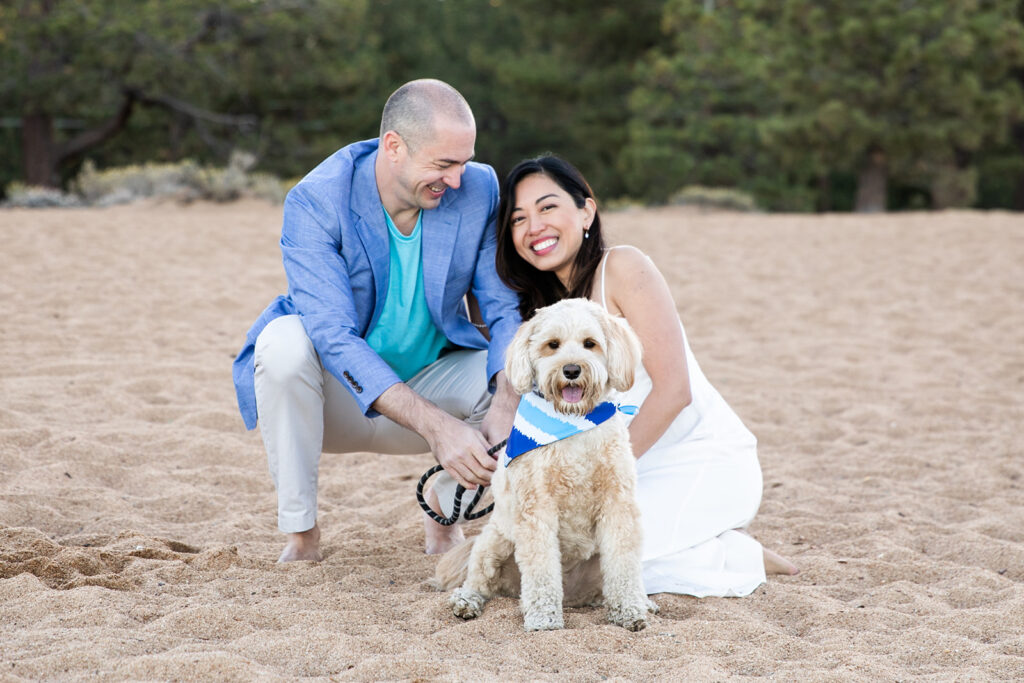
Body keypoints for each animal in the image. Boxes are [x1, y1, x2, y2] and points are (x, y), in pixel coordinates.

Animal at [434, 296, 655, 630]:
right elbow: (541, 568)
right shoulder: (536, 508)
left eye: (590, 343)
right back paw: (467, 601)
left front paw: (630, 610)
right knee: (480, 581)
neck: (572, 422)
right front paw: (543, 617)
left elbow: (624, 563)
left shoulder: (617, 503)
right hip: (494, 542)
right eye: (553, 345)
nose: (572, 369)